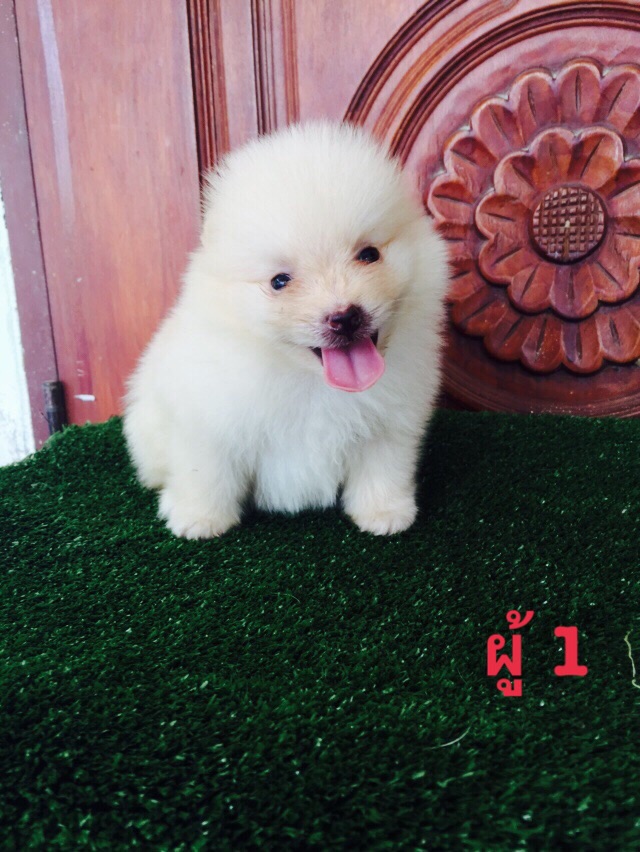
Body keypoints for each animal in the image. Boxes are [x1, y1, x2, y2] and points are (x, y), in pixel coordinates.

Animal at [124, 122, 448, 538]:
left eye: (369, 254)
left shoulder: (389, 425)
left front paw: (384, 512)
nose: (345, 317)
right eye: (280, 281)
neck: (311, 382)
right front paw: (200, 518)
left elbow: (382, 468)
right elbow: (207, 472)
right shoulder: (209, 420)